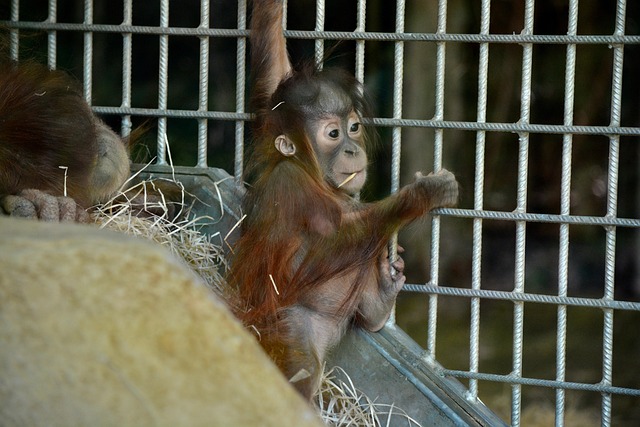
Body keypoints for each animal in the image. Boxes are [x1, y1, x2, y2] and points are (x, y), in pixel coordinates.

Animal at [227, 0, 459, 401]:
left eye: (353, 127)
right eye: (333, 134)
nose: (352, 148)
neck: (315, 175)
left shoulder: (272, 118)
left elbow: (272, 70)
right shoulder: (291, 183)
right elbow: (331, 244)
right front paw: (422, 194)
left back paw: (380, 300)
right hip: (287, 326)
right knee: (302, 369)